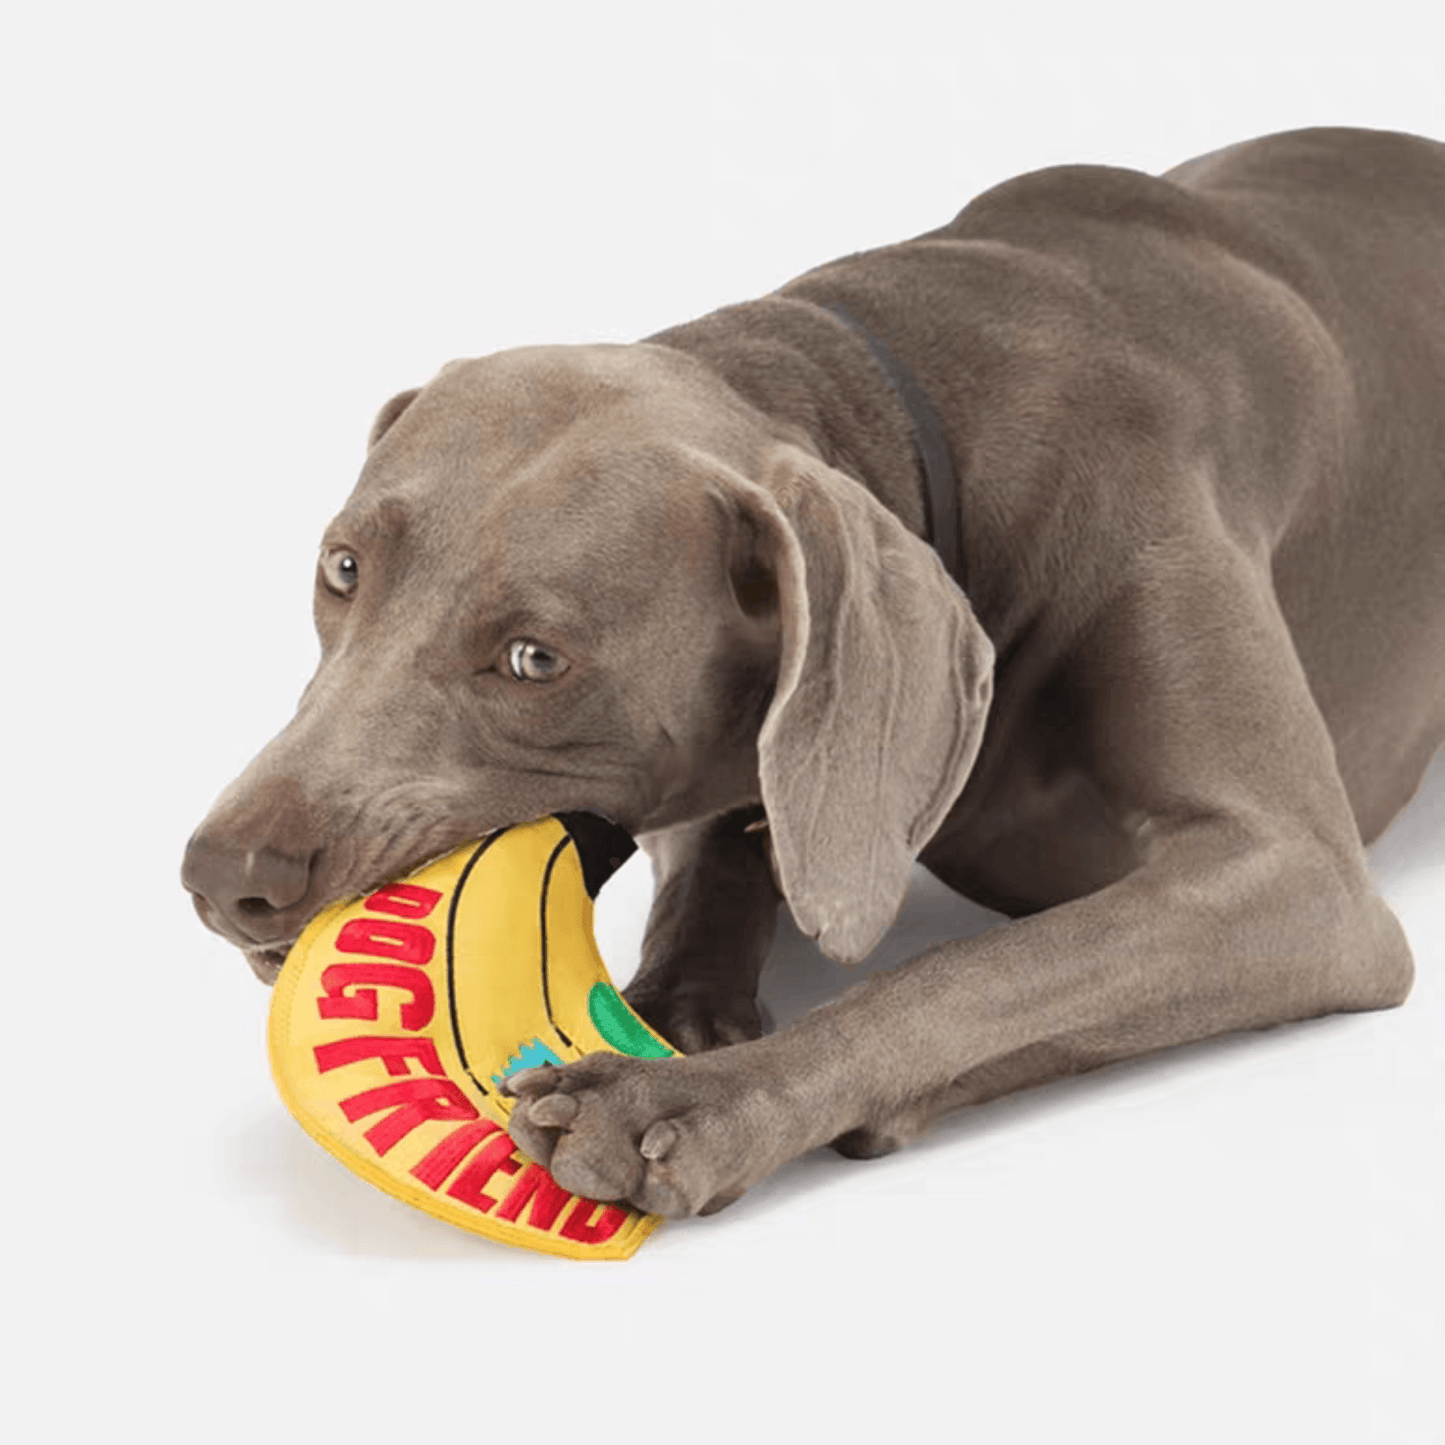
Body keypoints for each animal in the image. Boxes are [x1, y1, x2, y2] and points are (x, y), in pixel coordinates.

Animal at [183, 130, 1445, 1219]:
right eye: (342, 567)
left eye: (533, 659)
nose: (225, 876)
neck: (918, 394)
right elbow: (728, 853)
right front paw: (668, 1008)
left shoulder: (1296, 877)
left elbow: (968, 973)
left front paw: (687, 1101)